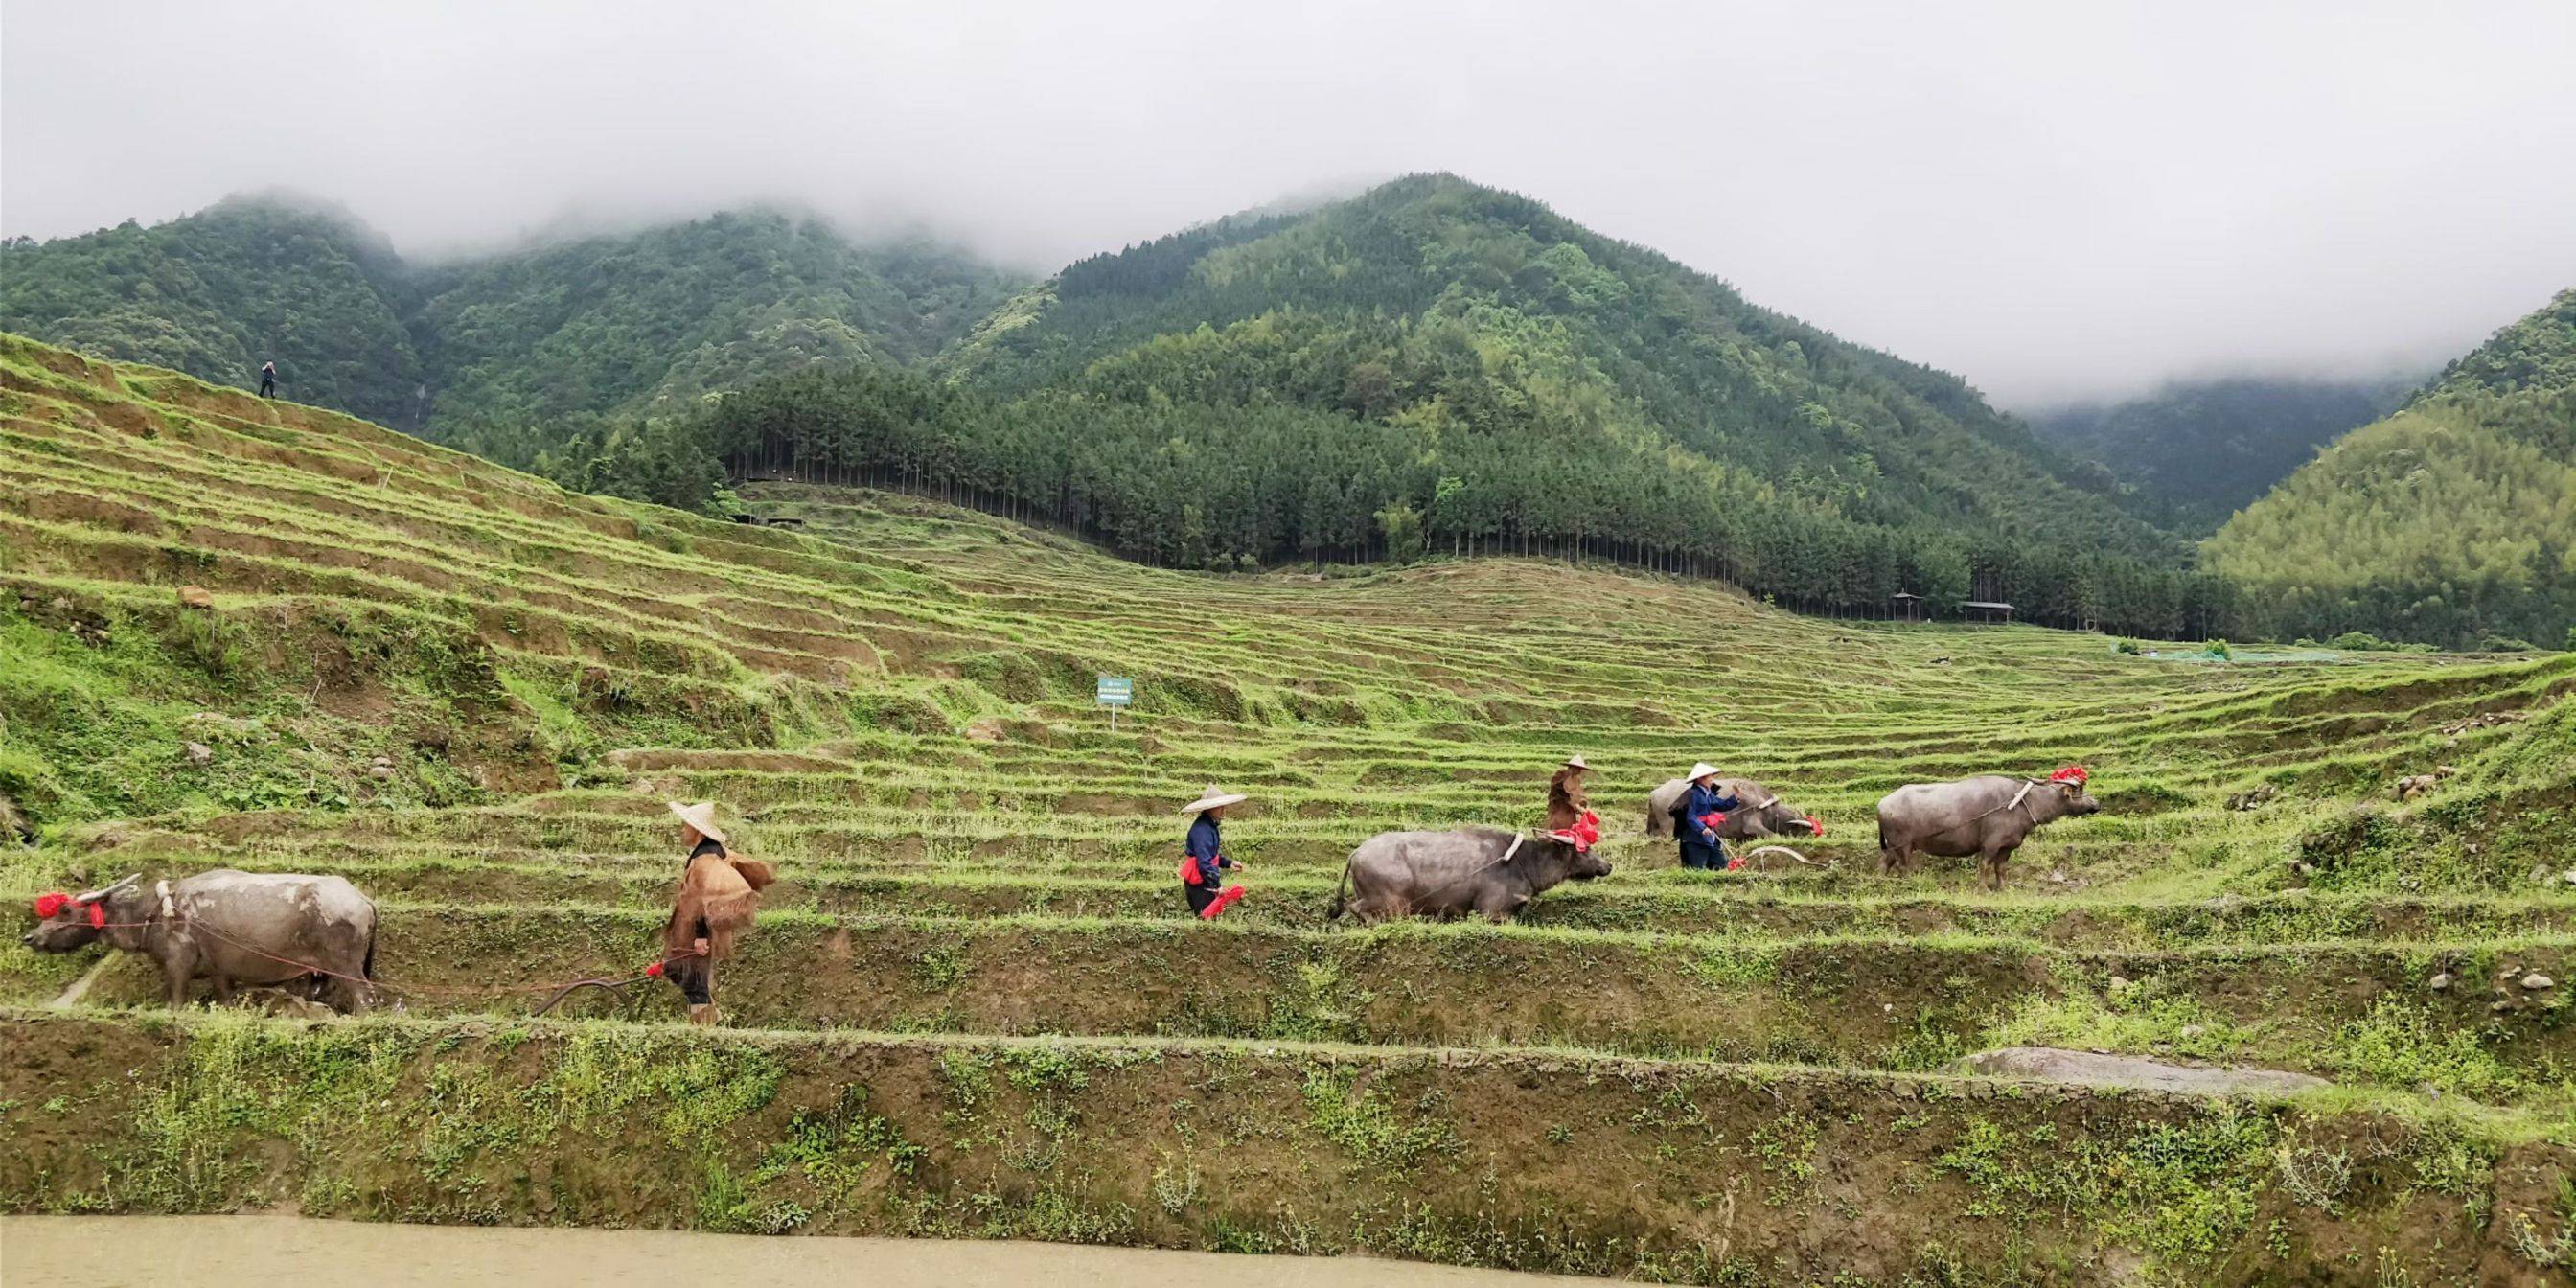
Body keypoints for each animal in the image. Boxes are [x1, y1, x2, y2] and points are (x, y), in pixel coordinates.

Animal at [22, 870, 379, 1009]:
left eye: (65, 910)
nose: (31, 937)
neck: (158, 912)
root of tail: (361, 898)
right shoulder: (220, 972)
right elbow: (225, 998)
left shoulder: (178, 964)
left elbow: (177, 1001)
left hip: (346, 964)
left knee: (366, 999)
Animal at [1329, 824, 1607, 927]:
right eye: (1585, 849)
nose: (1608, 866)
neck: (1521, 862)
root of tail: (1357, 852)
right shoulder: (1491, 911)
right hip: (1391, 902)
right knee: (1355, 907)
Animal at [1885, 768, 2102, 891]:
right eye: (2079, 790)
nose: (2097, 804)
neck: (2023, 803)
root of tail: (1883, 803)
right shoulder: (1991, 844)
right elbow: (1985, 866)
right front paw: (1984, 889)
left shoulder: (2006, 847)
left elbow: (2000, 869)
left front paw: (2003, 888)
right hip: (1903, 846)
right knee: (1903, 866)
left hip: (1893, 847)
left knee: (1885, 864)